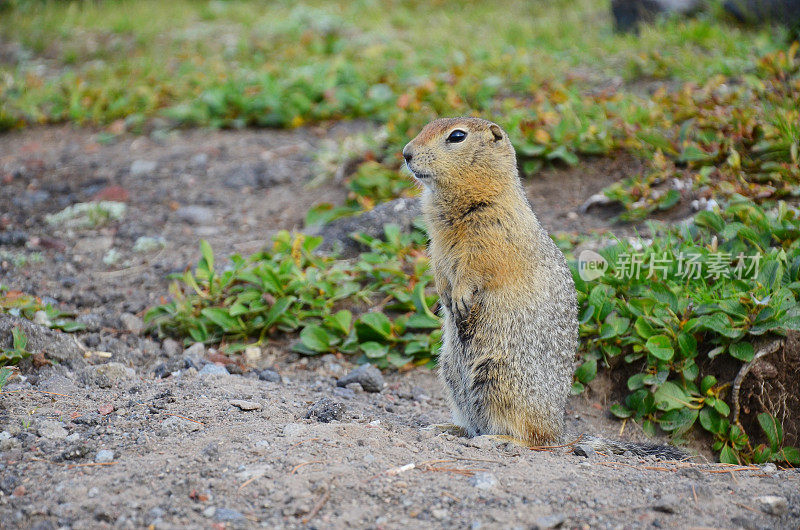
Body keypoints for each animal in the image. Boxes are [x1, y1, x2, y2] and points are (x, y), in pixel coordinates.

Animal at [404, 117, 684, 456]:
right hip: (450, 372)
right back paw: (447, 428)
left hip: (504, 377)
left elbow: (476, 267)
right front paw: (444, 295)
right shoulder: (438, 241)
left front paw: (458, 297)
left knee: (534, 439)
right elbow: (439, 266)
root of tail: (561, 431)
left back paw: (499, 438)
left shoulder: (493, 233)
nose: (405, 153)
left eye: (457, 136)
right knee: (473, 421)